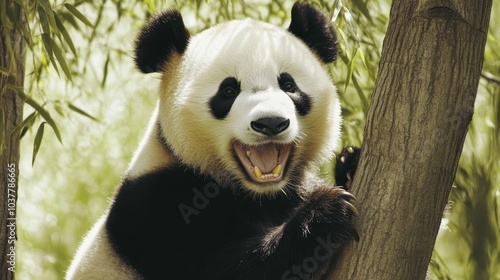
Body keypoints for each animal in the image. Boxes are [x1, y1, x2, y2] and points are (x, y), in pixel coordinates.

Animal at [68, 2, 362, 280]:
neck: (258, 193)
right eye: (228, 91)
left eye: (289, 86)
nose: (270, 123)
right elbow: (226, 269)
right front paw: (325, 214)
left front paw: (349, 164)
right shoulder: (157, 210)